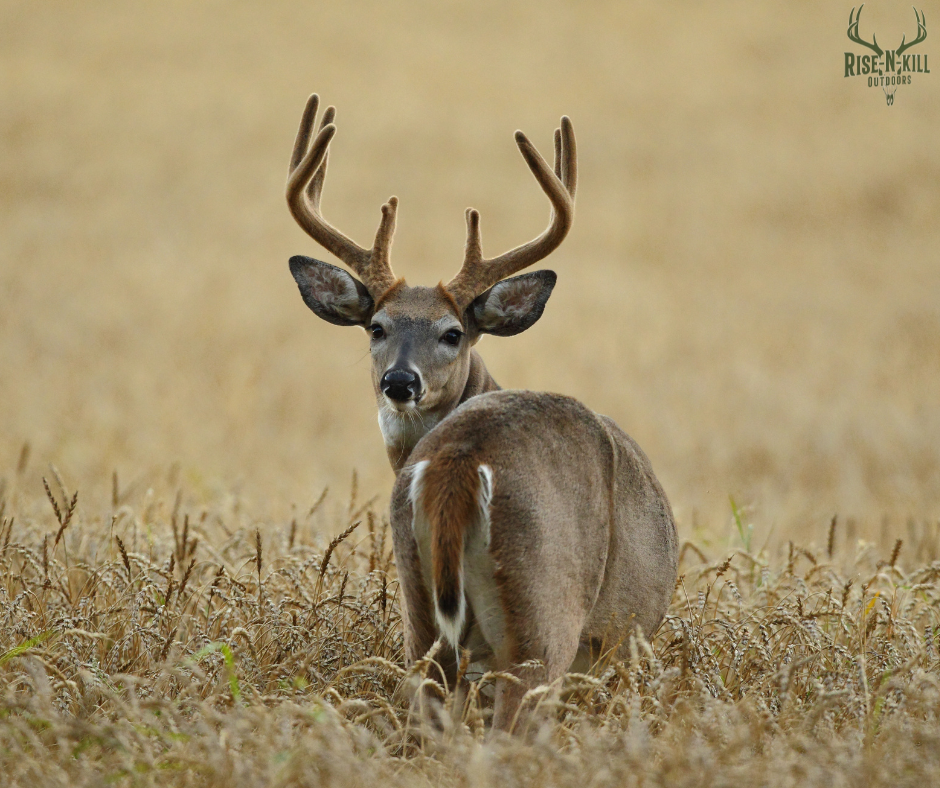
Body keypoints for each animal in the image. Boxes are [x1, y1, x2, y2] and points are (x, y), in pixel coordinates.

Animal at [285, 94, 678, 732]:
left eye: (452, 333)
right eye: (376, 326)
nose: (400, 381)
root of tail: (461, 464)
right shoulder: (617, 644)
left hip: (421, 612)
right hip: (541, 618)